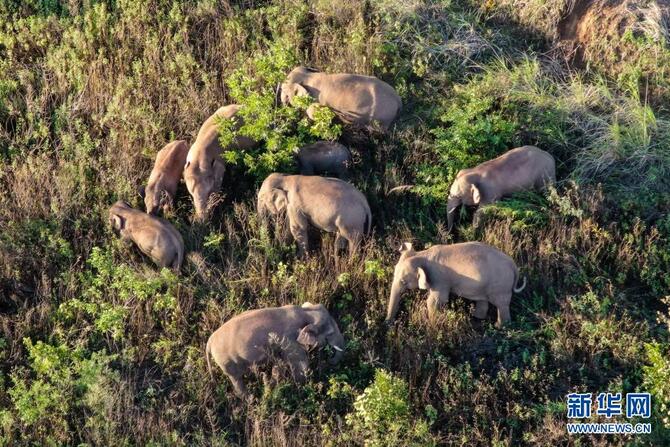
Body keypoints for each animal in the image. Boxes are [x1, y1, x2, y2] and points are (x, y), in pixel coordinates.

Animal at [206, 302, 346, 398]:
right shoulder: (290, 341)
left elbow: (280, 364)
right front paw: (301, 388)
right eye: (330, 333)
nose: (328, 360)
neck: (305, 311)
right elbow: (300, 365)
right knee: (236, 379)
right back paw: (251, 399)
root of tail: (209, 342)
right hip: (226, 361)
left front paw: (270, 385)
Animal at [386, 243, 528, 328]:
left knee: (501, 304)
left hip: (501, 286)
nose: (387, 323)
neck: (423, 254)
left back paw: (500, 326)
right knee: (484, 300)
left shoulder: (440, 279)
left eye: (403, 281)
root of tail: (514, 266)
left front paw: (433, 325)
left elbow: (435, 301)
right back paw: (476, 317)